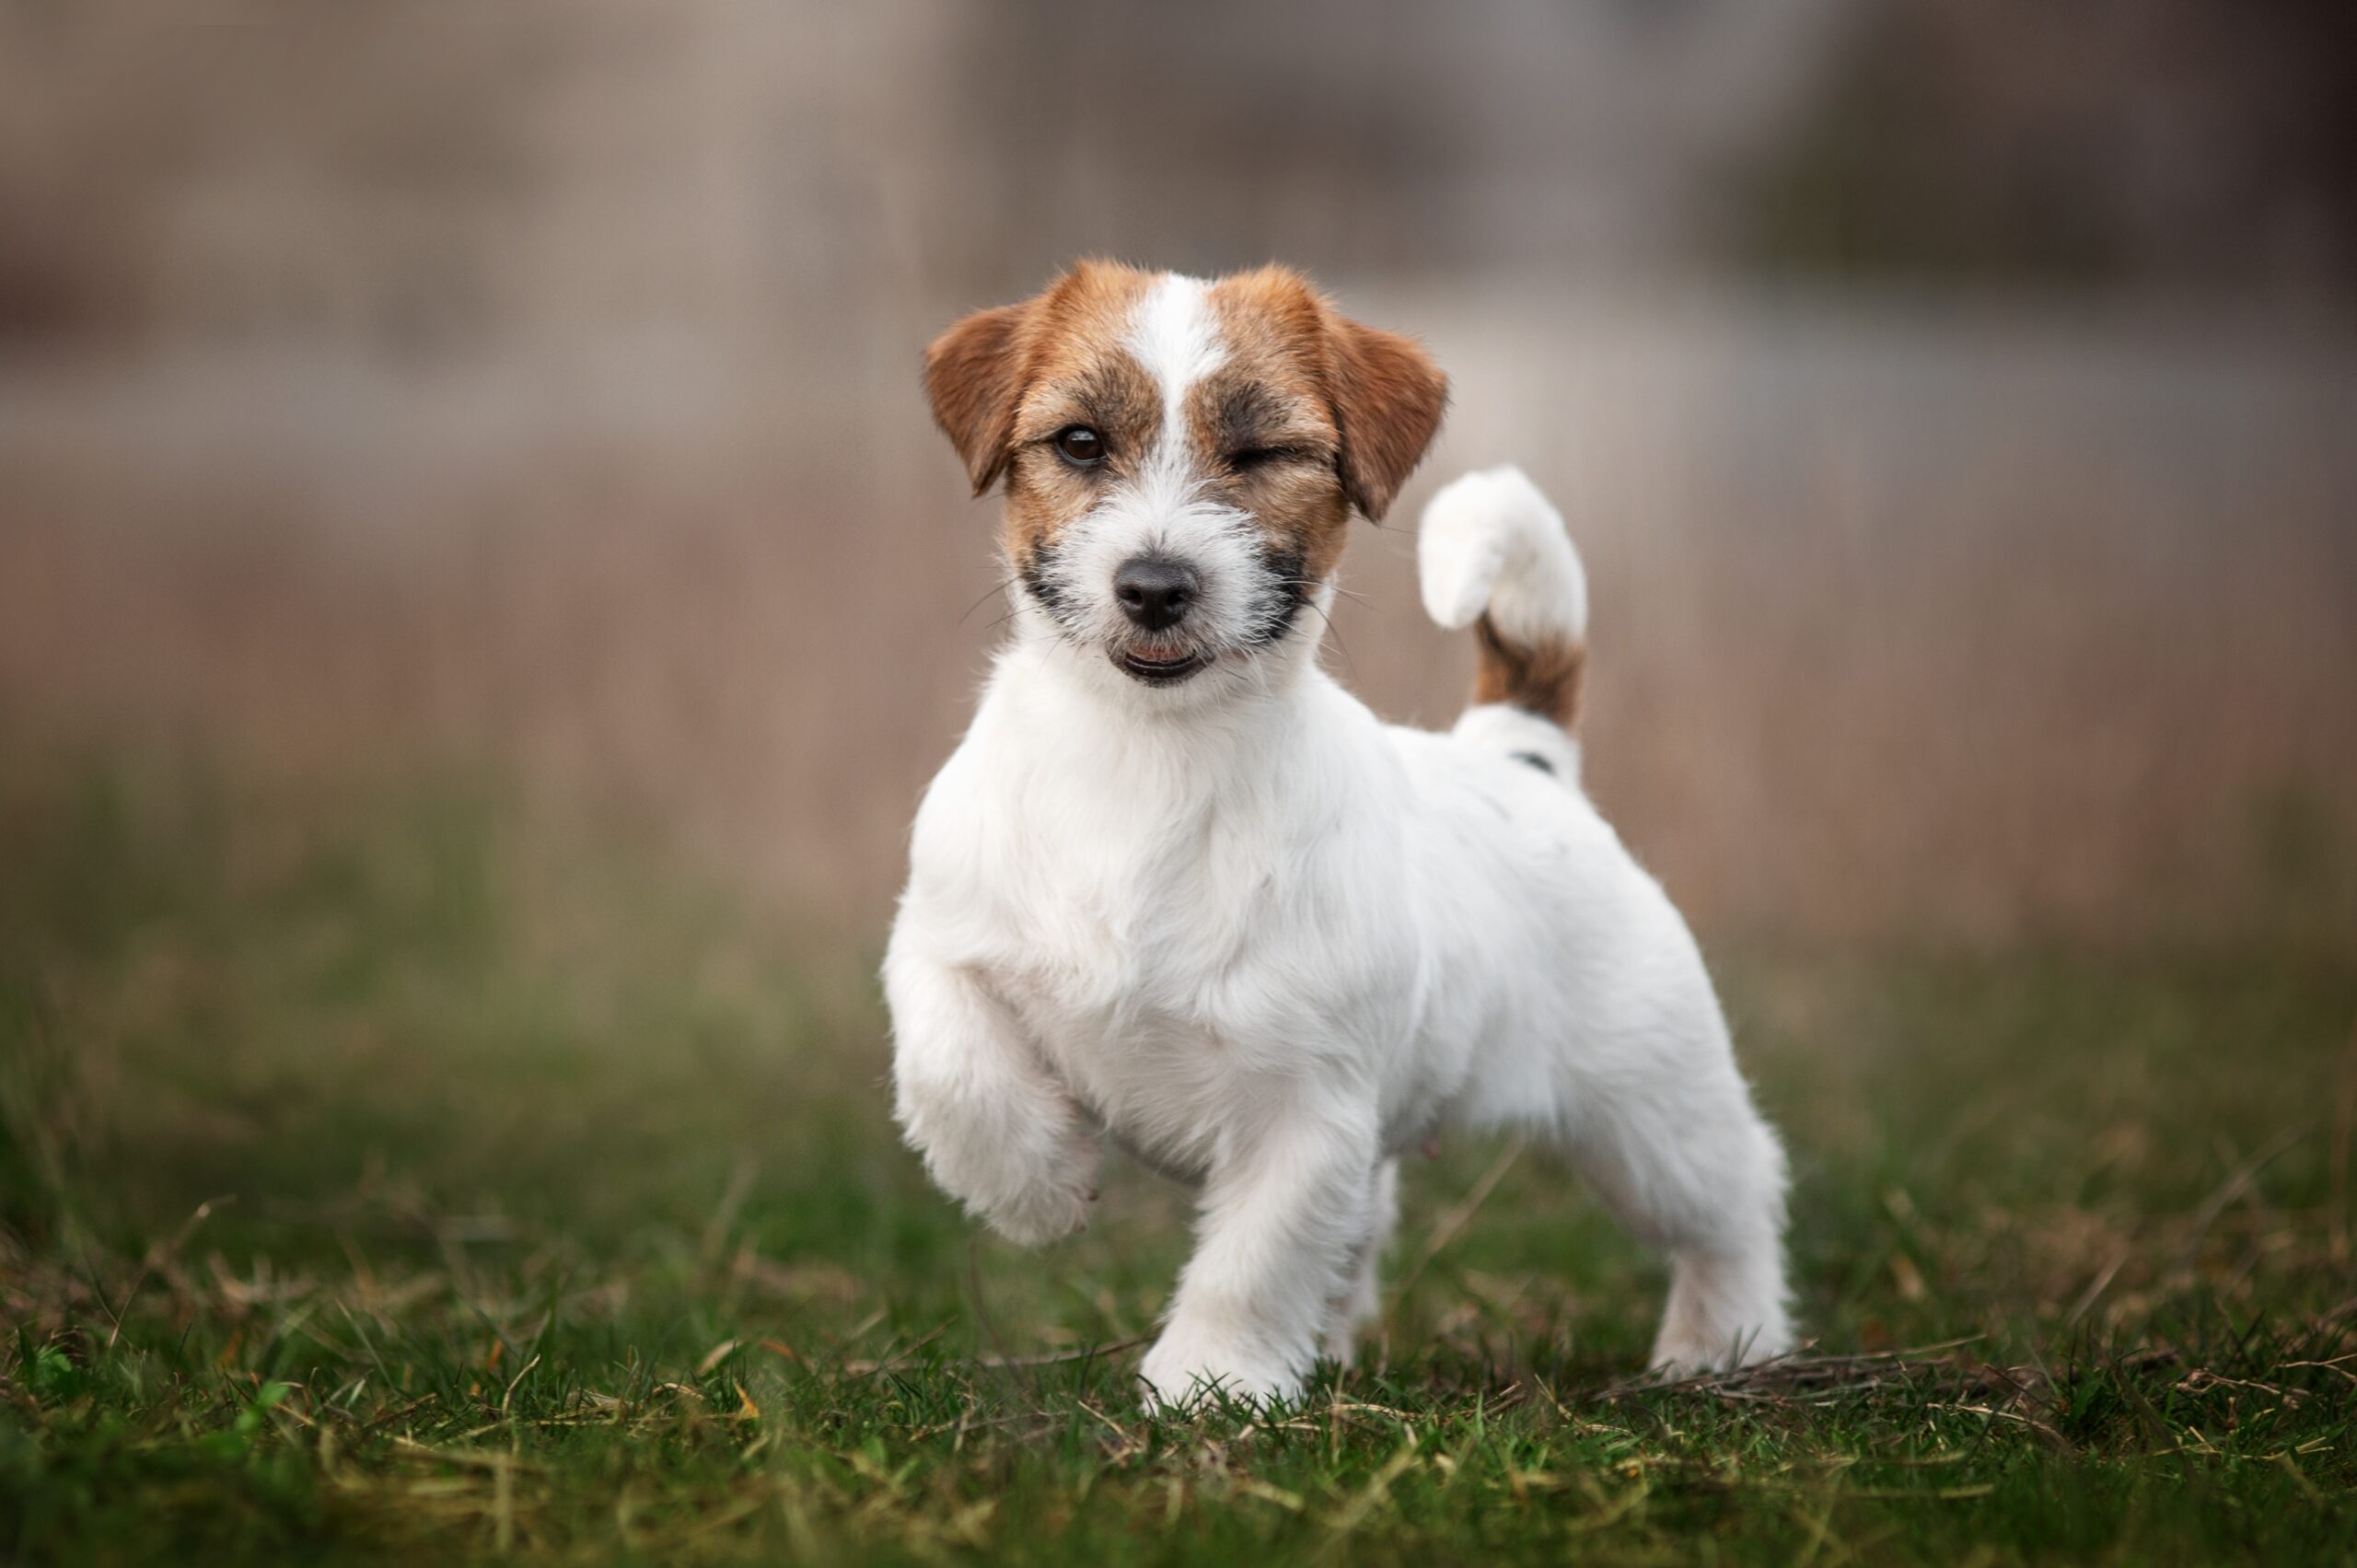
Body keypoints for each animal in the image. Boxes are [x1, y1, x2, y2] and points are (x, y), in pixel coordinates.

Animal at [886, 259, 1782, 1405]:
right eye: (1080, 442)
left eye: (1261, 454)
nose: (1155, 586)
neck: (1147, 759)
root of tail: (1520, 755)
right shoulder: (938, 942)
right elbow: (952, 1070)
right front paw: (1038, 1186)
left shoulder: (1303, 1106)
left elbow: (1253, 1258)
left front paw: (1209, 1384)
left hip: (1651, 1116)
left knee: (1737, 1194)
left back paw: (1726, 1342)